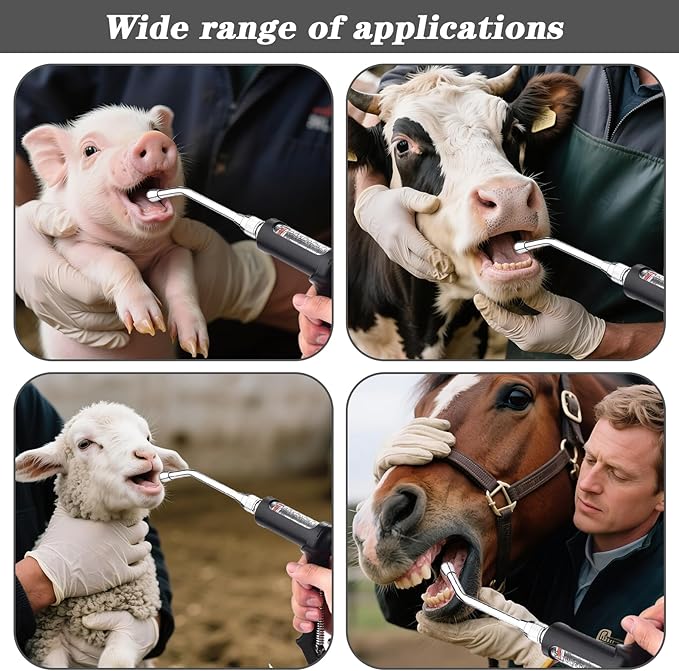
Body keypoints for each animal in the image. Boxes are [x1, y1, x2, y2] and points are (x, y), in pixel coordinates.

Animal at [15, 401, 188, 668]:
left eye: (148, 437)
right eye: (84, 444)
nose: (147, 454)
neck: (95, 601)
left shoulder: (133, 624)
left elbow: (117, 659)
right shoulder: (47, 640)